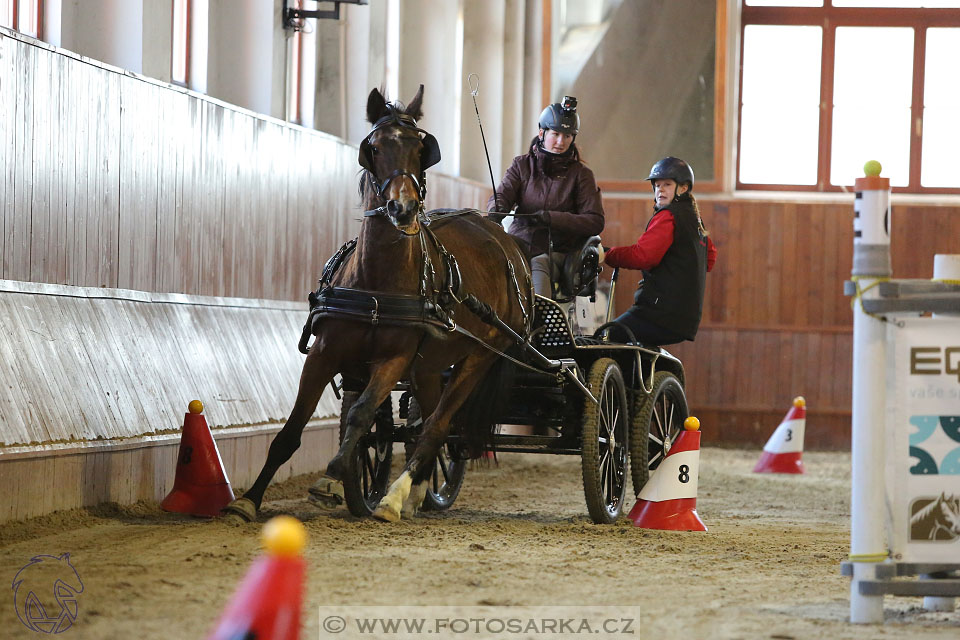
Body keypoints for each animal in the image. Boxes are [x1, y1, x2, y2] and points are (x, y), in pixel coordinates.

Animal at [224, 86, 532, 524]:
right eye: (375, 147)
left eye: (421, 148)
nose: (403, 208)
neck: (375, 285)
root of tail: (507, 245)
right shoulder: (324, 353)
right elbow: (293, 428)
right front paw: (248, 500)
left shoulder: (394, 359)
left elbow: (361, 413)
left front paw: (331, 478)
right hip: (430, 365)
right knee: (429, 423)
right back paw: (417, 494)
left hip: (479, 357)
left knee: (439, 425)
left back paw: (393, 498)